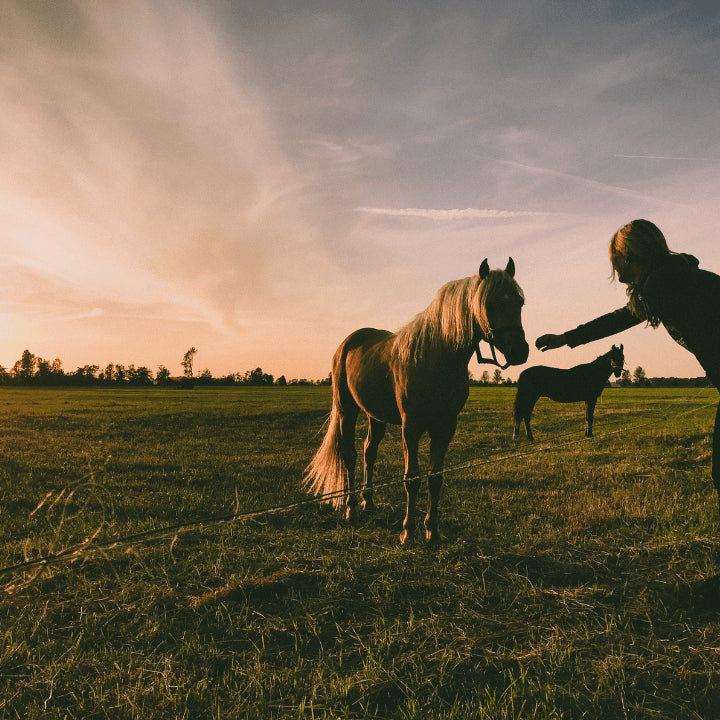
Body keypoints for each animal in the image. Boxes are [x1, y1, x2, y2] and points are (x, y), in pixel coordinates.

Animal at [304, 259, 529, 545]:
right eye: (489, 303)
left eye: (519, 302)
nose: (520, 351)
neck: (436, 358)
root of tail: (347, 343)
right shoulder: (410, 426)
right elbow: (412, 479)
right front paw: (407, 531)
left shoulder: (445, 427)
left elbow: (435, 478)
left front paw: (432, 530)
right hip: (347, 411)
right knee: (349, 455)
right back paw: (351, 508)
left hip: (375, 416)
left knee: (368, 452)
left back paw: (368, 502)